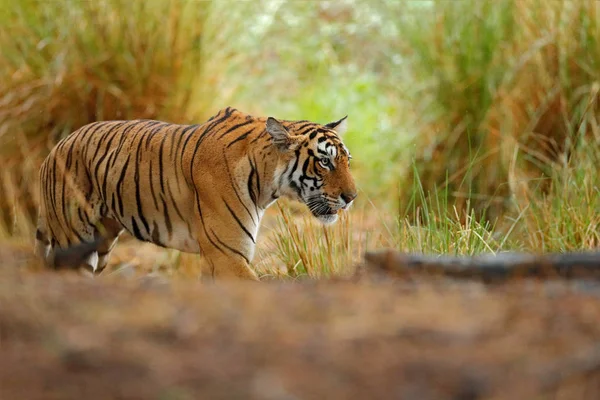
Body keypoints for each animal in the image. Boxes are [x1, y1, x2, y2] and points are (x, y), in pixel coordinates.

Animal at [35, 107, 356, 282]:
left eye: (346, 161)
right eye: (324, 162)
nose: (352, 197)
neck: (266, 182)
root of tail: (53, 150)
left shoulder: (216, 259)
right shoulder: (228, 255)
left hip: (100, 244)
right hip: (74, 241)